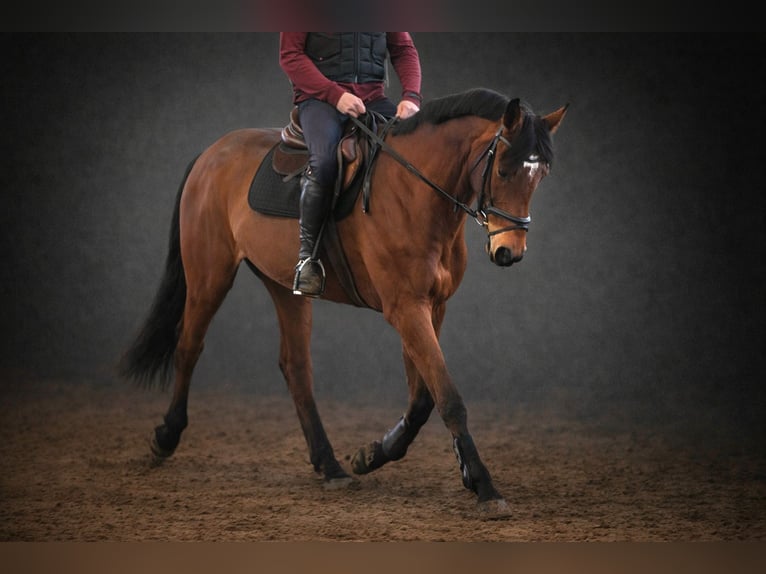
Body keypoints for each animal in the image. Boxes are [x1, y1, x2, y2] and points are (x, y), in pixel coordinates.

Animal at [119, 88, 567, 519]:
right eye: (504, 170)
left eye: (541, 175)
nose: (510, 252)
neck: (414, 193)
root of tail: (212, 153)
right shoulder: (406, 309)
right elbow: (449, 398)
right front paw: (486, 487)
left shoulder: (431, 307)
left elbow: (423, 398)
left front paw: (372, 455)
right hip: (209, 276)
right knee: (189, 347)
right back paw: (165, 437)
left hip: (284, 287)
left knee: (296, 367)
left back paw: (330, 464)